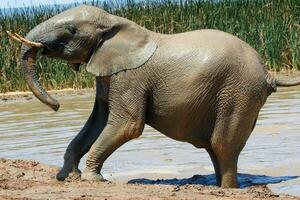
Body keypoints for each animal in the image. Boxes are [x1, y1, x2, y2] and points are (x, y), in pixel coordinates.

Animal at [8, 5, 300, 188]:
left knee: (223, 145)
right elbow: (97, 122)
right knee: (214, 147)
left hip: (239, 92)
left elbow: (127, 125)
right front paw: (69, 176)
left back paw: (227, 190)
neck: (114, 20)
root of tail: (267, 73)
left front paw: (92, 179)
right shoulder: (109, 74)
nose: (57, 105)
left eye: (71, 29)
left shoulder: (130, 78)